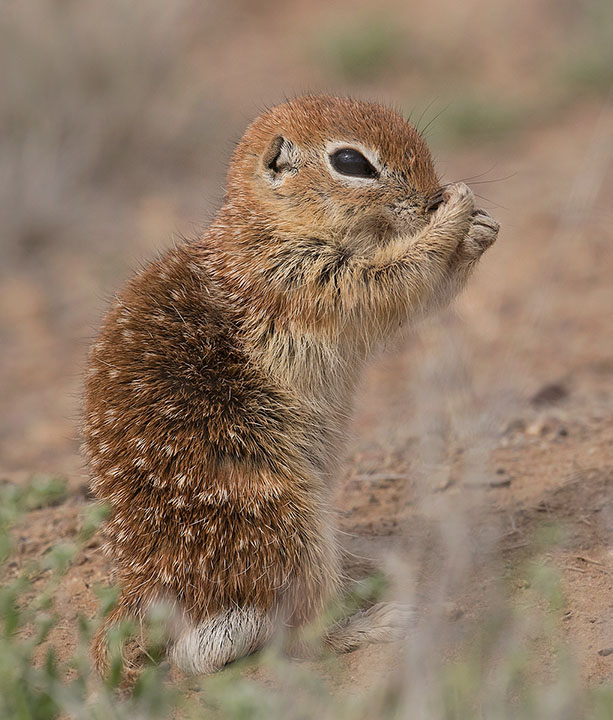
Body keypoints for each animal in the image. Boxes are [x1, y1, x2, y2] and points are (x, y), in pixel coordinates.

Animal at [83, 94, 500, 676]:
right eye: (351, 163)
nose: (432, 197)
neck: (265, 227)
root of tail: (144, 590)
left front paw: (478, 229)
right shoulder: (298, 279)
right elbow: (391, 282)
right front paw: (453, 216)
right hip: (285, 521)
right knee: (301, 635)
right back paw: (373, 620)